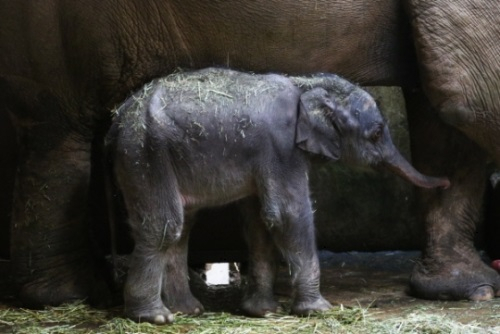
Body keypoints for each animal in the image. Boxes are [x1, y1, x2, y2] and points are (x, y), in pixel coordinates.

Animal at [105, 67, 450, 324]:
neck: (306, 84)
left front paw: (262, 311)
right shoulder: (281, 146)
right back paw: (154, 317)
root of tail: (119, 116)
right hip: (146, 153)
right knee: (164, 226)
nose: (447, 183)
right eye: (376, 133)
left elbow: (259, 222)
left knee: (182, 227)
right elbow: (287, 214)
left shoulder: (263, 156)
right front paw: (318, 310)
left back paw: (187, 311)